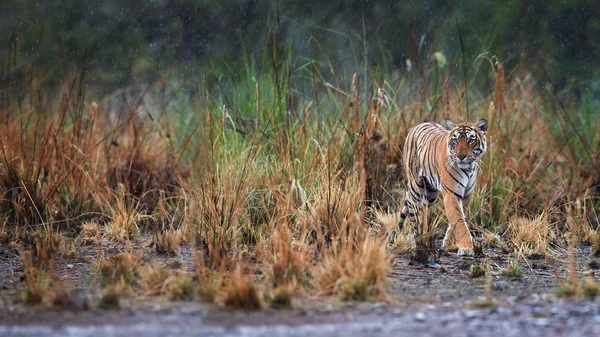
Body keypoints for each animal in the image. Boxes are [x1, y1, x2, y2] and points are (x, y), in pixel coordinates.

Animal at [398, 117, 488, 258]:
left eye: (471, 140)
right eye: (455, 140)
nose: (461, 156)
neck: (469, 167)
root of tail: (418, 125)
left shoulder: (466, 196)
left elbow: (457, 221)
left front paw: (448, 245)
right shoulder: (451, 194)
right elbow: (459, 223)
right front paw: (467, 248)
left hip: (430, 194)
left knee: (423, 212)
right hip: (415, 187)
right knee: (413, 214)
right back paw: (417, 243)